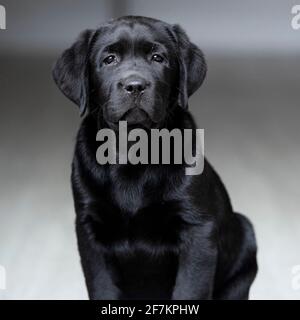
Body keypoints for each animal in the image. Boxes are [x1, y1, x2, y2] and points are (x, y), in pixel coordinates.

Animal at [52, 15, 256, 300]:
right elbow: (102, 287)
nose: (135, 86)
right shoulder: (89, 230)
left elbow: (190, 289)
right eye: (109, 59)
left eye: (158, 58)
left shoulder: (198, 231)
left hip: (245, 241)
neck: (134, 150)